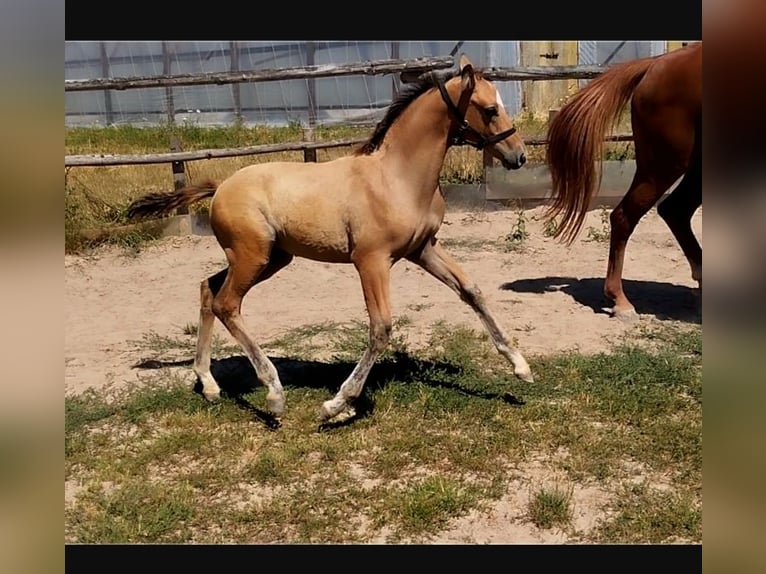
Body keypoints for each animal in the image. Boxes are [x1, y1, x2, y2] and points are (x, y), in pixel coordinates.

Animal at [127, 54, 534, 423]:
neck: (396, 178)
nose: (519, 156)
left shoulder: (423, 249)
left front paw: (521, 367)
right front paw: (337, 404)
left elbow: (471, 291)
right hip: (252, 256)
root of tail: (220, 187)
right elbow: (381, 327)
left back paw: (209, 383)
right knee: (227, 304)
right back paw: (274, 394)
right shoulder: (371, 260)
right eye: (489, 109)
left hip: (268, 258)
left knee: (208, 291)